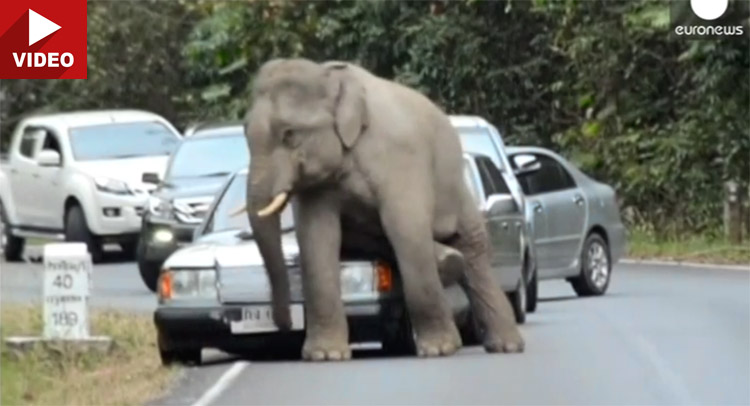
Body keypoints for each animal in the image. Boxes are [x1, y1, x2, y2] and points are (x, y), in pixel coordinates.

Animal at [244, 55, 524, 360]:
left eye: (289, 135)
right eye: (245, 134)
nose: (281, 323)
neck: (330, 77)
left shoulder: (401, 157)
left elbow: (405, 228)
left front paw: (439, 349)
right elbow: (317, 237)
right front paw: (325, 355)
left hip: (456, 189)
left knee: (473, 248)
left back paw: (507, 346)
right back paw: (450, 261)